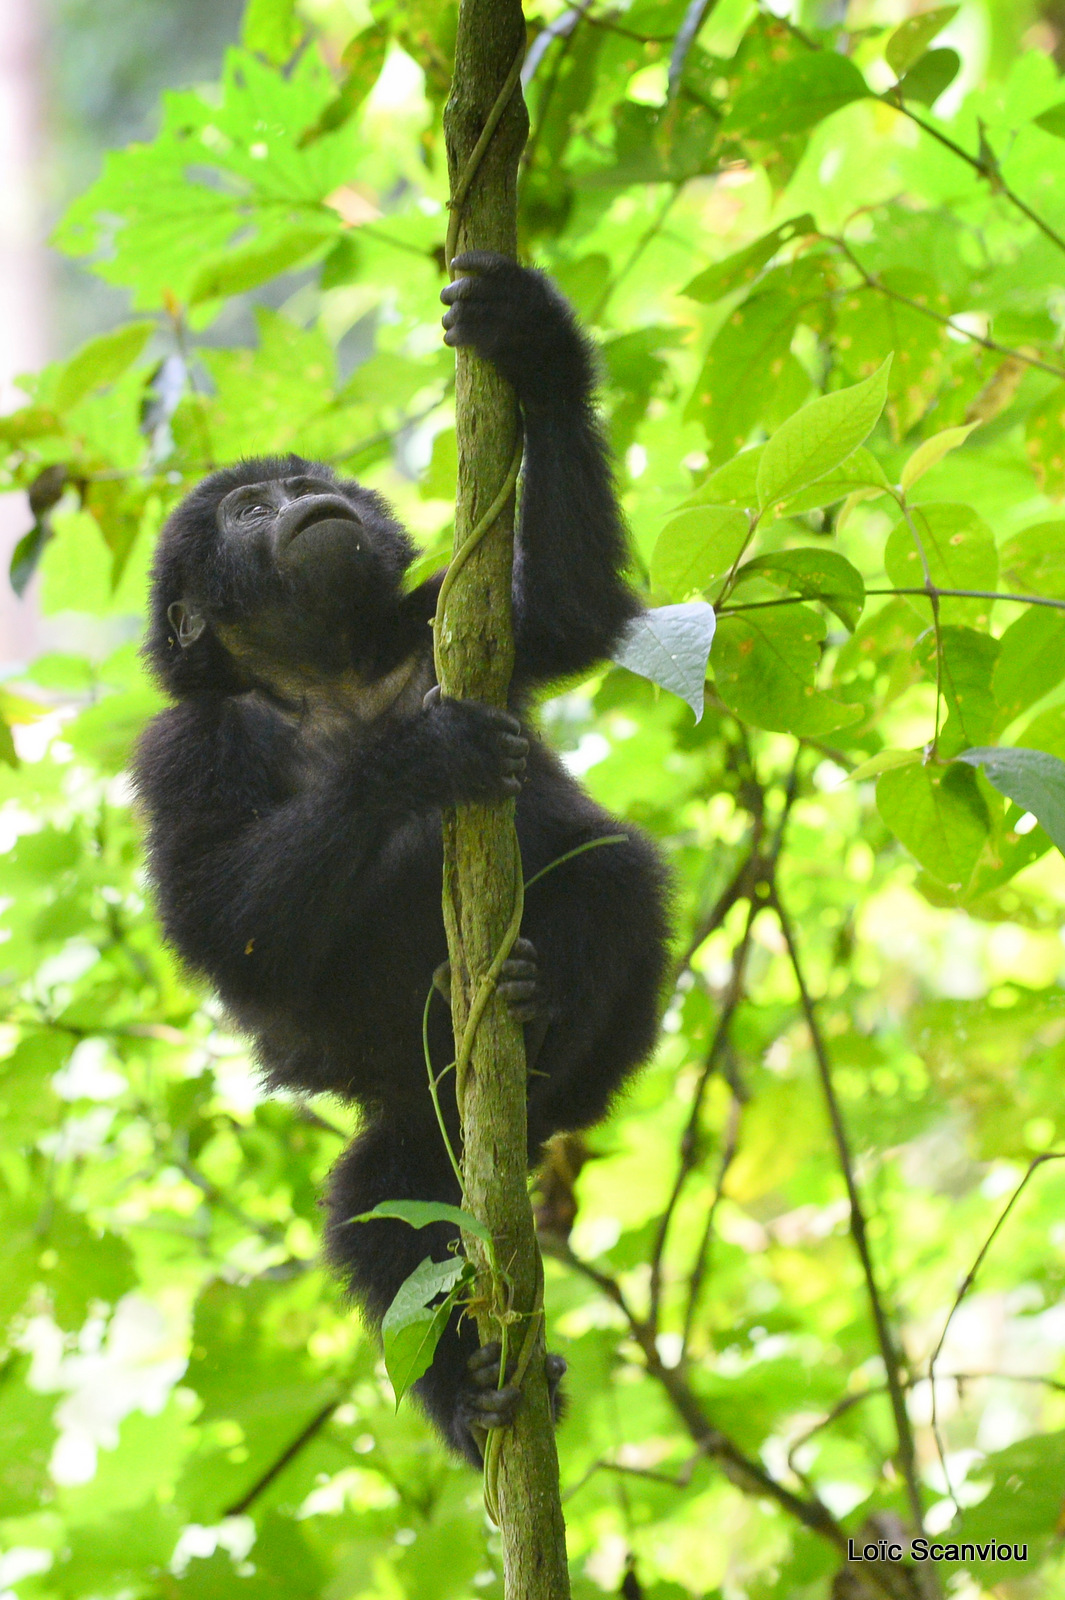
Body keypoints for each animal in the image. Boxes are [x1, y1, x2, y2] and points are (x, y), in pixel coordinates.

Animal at [132, 256, 665, 1465]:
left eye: (302, 482)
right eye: (248, 509)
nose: (301, 502)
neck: (325, 675)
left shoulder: (434, 618)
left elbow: (567, 612)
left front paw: (534, 341)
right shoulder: (181, 747)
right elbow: (223, 929)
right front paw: (415, 757)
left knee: (617, 872)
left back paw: (538, 1006)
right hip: (407, 1116)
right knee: (376, 1203)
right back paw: (472, 1398)